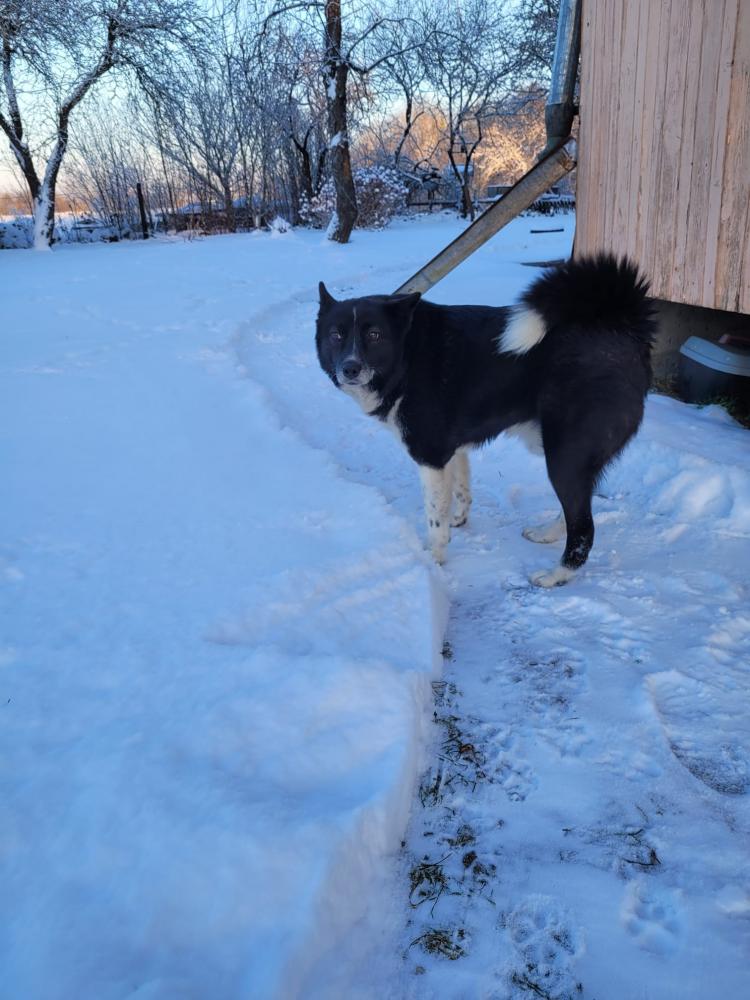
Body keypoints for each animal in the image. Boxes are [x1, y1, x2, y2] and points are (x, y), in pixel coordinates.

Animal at [315, 255, 654, 586]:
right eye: (336, 335)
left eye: (374, 335)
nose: (350, 368)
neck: (408, 354)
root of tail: (621, 326)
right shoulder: (451, 449)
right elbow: (460, 490)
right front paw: (459, 520)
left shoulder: (430, 456)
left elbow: (434, 516)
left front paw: (434, 558)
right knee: (576, 510)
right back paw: (546, 534)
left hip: (564, 456)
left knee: (583, 527)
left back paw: (557, 575)